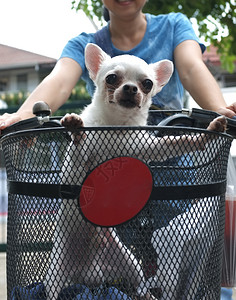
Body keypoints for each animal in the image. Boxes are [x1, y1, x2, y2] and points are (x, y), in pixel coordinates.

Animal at [44, 42, 227, 300]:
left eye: (147, 83)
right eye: (111, 78)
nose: (130, 88)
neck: (115, 127)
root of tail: (89, 273)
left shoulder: (146, 147)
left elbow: (174, 143)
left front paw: (202, 137)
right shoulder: (79, 162)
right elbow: (81, 148)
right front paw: (76, 129)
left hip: (131, 264)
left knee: (139, 285)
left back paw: (145, 295)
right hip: (55, 274)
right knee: (52, 290)